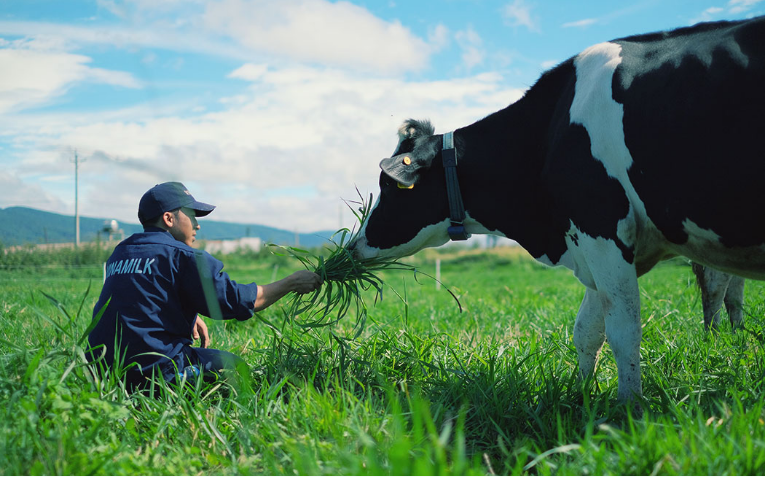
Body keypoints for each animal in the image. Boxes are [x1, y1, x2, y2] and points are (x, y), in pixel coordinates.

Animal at [350, 15, 764, 402]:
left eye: (388, 186)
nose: (352, 248)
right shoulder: (590, 242)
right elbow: (587, 331)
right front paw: (583, 395)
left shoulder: (600, 228)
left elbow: (623, 330)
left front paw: (628, 408)